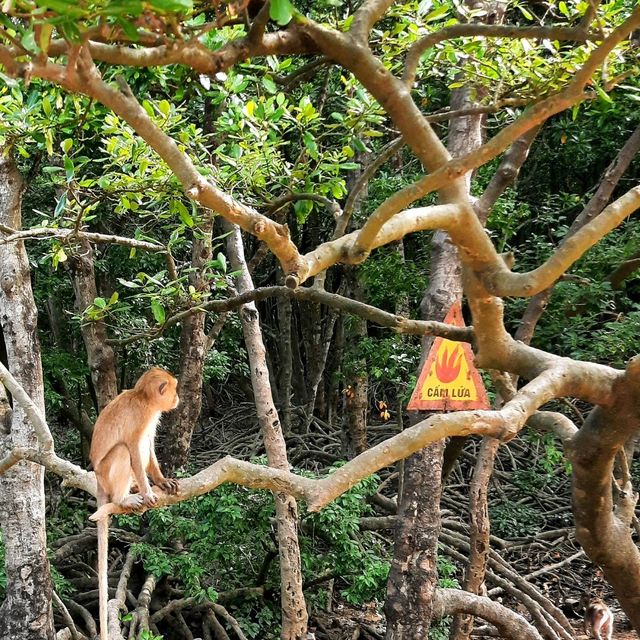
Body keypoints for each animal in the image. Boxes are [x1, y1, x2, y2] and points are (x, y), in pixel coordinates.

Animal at [89, 368, 180, 640]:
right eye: (173, 388)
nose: (177, 397)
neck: (144, 400)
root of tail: (97, 478)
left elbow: (148, 446)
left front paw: (161, 481)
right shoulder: (140, 418)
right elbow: (134, 449)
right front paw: (149, 490)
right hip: (107, 472)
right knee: (123, 451)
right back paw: (124, 497)